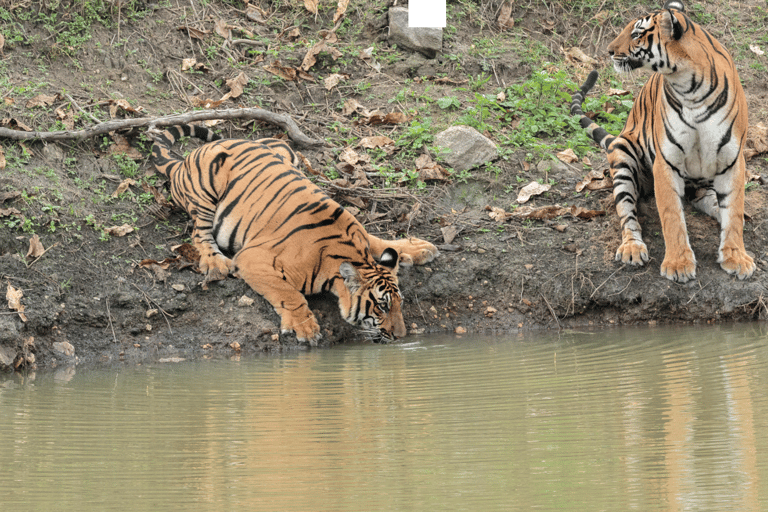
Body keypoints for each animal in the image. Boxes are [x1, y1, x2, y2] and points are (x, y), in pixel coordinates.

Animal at [150, 124, 438, 344]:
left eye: (400, 304)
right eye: (382, 306)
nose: (401, 336)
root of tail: (184, 161)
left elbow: (377, 239)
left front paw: (418, 249)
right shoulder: (252, 259)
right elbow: (288, 294)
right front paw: (305, 328)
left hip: (285, 150)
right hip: (208, 187)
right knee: (199, 234)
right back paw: (215, 263)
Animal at [572, 0, 752, 282]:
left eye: (636, 34)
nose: (609, 51)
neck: (690, 87)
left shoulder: (731, 160)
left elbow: (733, 213)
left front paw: (736, 258)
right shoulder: (666, 161)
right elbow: (672, 216)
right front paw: (679, 264)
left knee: (710, 201)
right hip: (623, 155)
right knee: (627, 213)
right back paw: (632, 248)